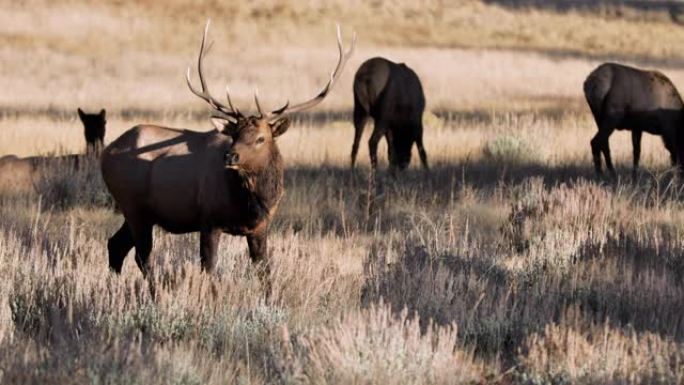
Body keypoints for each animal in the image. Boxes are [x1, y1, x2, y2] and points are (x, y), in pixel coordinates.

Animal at [102, 19, 358, 290]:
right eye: (234, 134)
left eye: (261, 138)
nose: (230, 157)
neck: (252, 205)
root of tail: (106, 152)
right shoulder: (208, 221)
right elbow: (210, 270)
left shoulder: (260, 228)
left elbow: (265, 272)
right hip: (133, 206)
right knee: (142, 257)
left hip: (140, 213)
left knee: (116, 245)